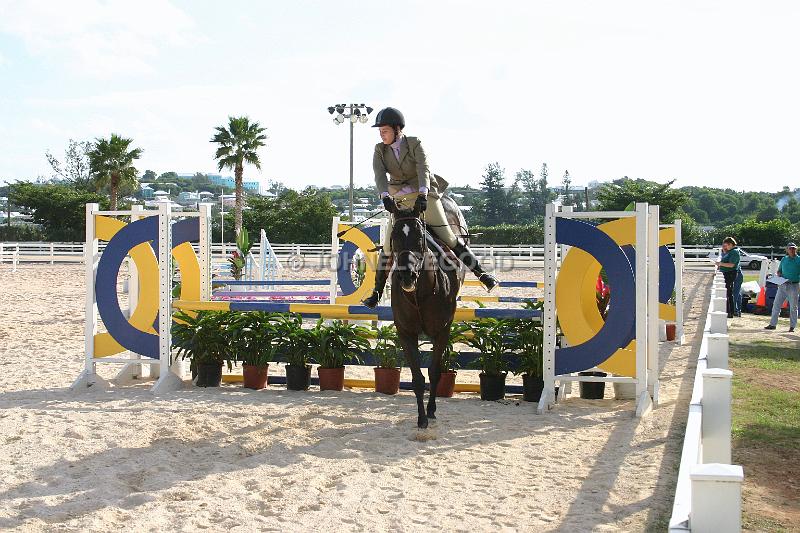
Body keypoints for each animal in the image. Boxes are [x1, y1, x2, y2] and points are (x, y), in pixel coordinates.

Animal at [384, 195, 466, 428]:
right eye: (394, 236)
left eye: (420, 237)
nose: (407, 276)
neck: (418, 295)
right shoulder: (406, 333)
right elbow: (417, 378)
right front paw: (421, 418)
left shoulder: (442, 331)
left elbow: (435, 372)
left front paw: (431, 410)